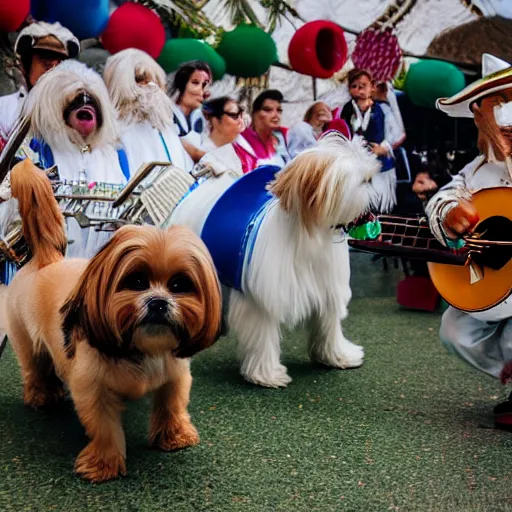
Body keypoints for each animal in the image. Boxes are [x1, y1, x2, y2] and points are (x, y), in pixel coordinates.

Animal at [2, 159, 222, 480]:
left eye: (179, 285)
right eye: (137, 281)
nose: (158, 302)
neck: (142, 349)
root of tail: (45, 260)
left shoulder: (176, 374)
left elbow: (172, 405)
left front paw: (175, 436)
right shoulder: (93, 389)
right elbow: (105, 427)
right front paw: (103, 464)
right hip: (26, 341)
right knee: (34, 368)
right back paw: (41, 396)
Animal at [169, 134, 380, 386]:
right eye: (360, 181)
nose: (372, 178)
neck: (310, 236)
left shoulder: (328, 289)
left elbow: (329, 326)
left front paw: (337, 356)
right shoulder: (262, 299)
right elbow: (263, 336)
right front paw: (266, 374)